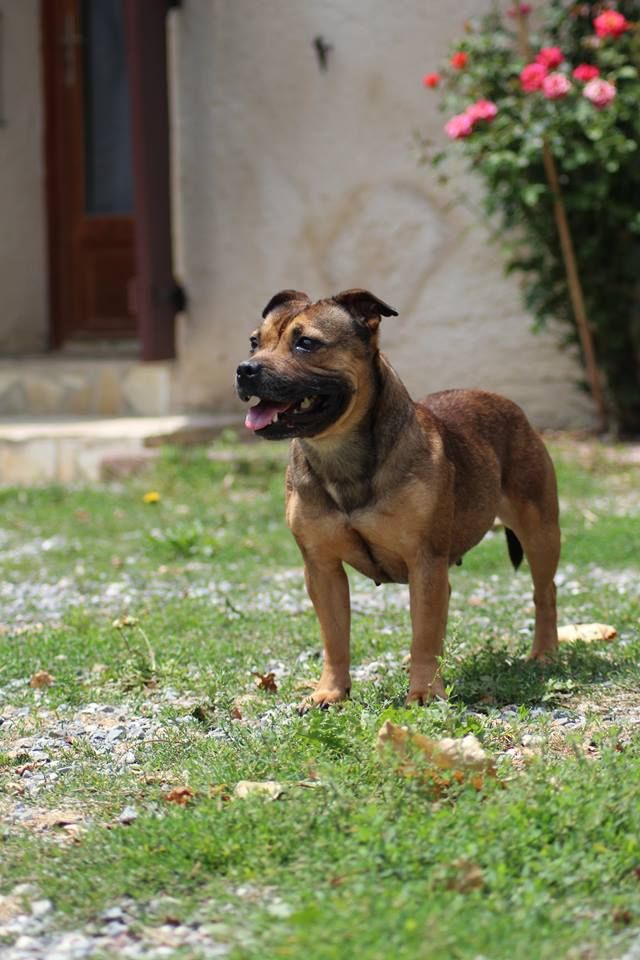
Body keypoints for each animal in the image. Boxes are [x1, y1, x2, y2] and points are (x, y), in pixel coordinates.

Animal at [236, 286, 560, 704]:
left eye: (306, 343)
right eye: (254, 343)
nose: (246, 369)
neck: (339, 452)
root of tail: (507, 404)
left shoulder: (425, 562)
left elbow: (423, 635)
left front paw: (423, 693)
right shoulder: (322, 569)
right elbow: (334, 637)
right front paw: (330, 693)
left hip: (540, 530)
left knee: (544, 591)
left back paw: (544, 653)